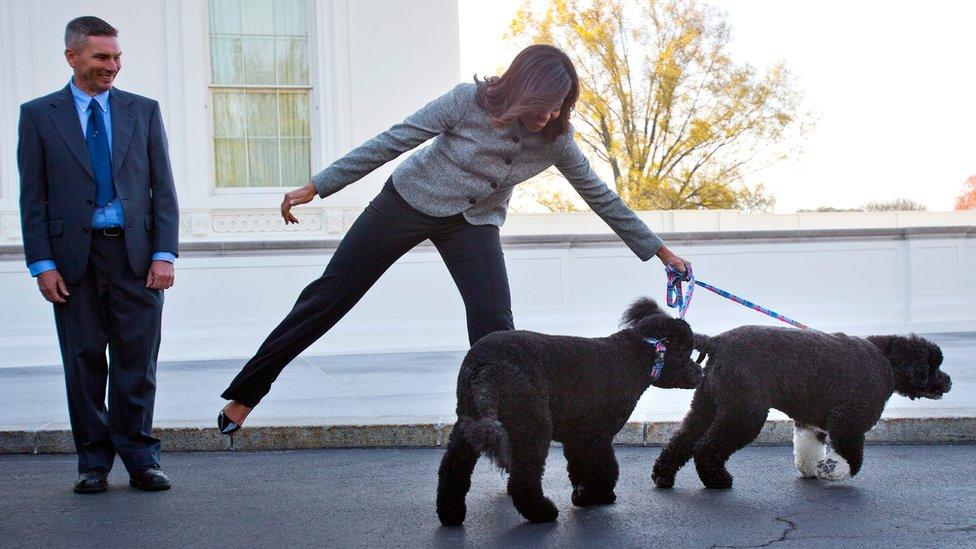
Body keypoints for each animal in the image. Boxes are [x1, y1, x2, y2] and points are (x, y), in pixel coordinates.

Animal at [436, 298, 700, 524]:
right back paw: (542, 512)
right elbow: (606, 468)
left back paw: (450, 514)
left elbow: (579, 466)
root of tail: (486, 365)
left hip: (468, 423)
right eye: (687, 352)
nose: (700, 372)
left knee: (452, 468)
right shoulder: (596, 436)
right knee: (524, 477)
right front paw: (594, 494)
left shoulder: (577, 435)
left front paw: (586, 494)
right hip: (534, 427)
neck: (635, 354)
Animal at [652, 326, 948, 488]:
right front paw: (832, 470)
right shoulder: (848, 422)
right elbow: (852, 458)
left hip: (707, 406)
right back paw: (718, 481)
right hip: (744, 413)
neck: (885, 359)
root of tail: (718, 342)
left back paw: (663, 477)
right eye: (933, 366)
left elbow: (808, 449)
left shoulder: (811, 423)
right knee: (705, 447)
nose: (949, 381)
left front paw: (812, 469)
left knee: (682, 440)